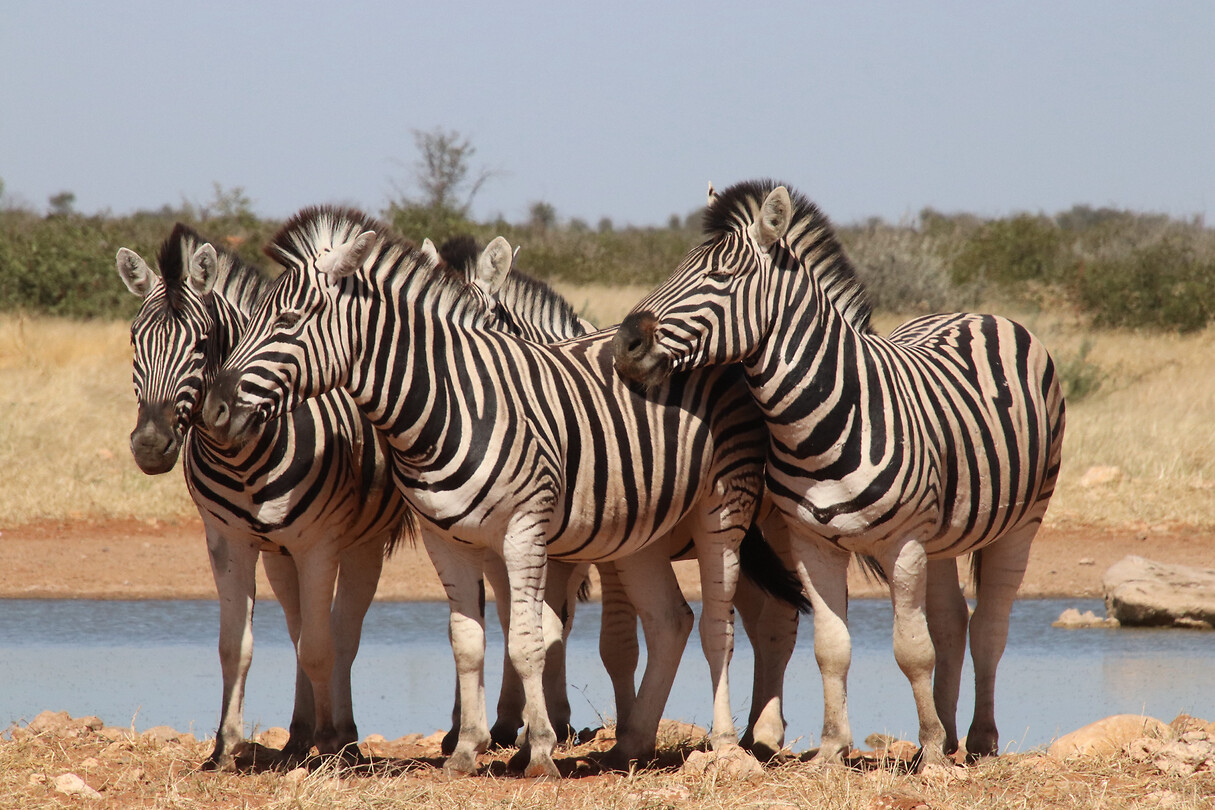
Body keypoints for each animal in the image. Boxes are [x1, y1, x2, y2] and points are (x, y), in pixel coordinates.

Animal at [116, 225, 414, 769]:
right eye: (133, 338)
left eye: (202, 343)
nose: (150, 445)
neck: (245, 455)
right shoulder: (229, 541)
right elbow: (236, 646)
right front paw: (224, 747)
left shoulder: (319, 545)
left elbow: (320, 646)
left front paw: (330, 745)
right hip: (280, 553)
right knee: (301, 629)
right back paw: (298, 735)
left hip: (361, 544)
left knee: (342, 635)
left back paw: (344, 737)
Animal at [199, 206, 776, 777]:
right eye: (251, 319)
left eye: (286, 321)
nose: (214, 409)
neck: (445, 406)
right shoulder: (445, 538)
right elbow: (468, 642)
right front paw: (466, 749)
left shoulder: (525, 531)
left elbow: (528, 640)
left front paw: (539, 750)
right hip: (639, 529)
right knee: (669, 622)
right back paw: (631, 745)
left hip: (723, 507)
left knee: (718, 626)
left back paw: (727, 748)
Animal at [613, 180, 1066, 766]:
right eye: (677, 267)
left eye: (722, 277)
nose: (624, 345)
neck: (823, 419)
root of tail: (980, 314)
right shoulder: (811, 542)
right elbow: (832, 646)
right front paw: (833, 749)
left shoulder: (903, 543)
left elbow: (911, 649)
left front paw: (929, 755)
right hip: (941, 536)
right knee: (951, 623)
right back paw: (948, 732)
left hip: (1022, 521)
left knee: (990, 626)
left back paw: (978, 739)